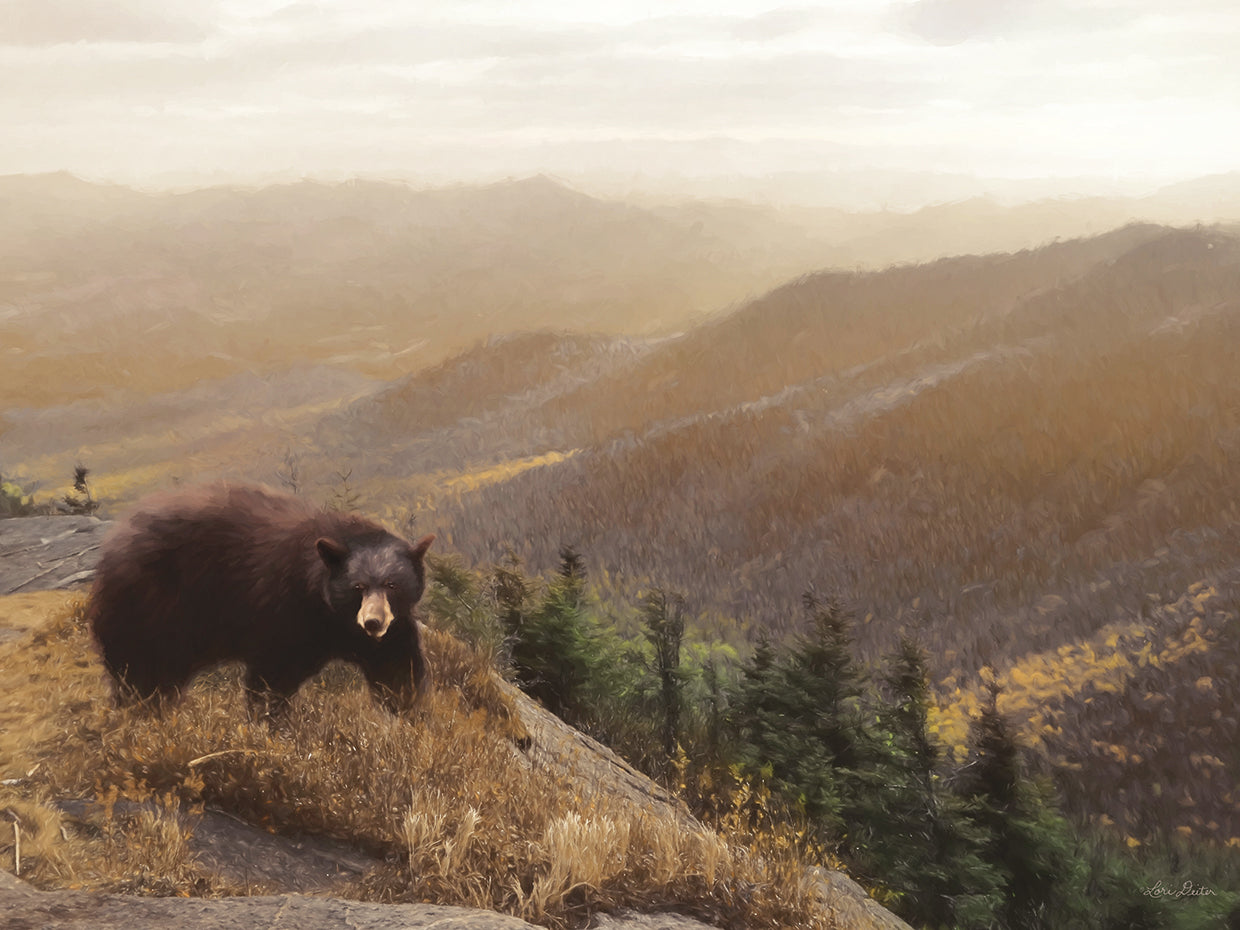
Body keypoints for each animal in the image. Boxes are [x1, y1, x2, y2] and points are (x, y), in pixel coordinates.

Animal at [87, 482, 434, 716]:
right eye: (358, 586)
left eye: (392, 584)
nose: (373, 622)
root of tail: (113, 543)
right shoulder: (284, 611)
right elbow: (272, 676)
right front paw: (273, 724)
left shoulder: (389, 629)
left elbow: (398, 668)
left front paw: (404, 713)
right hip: (150, 609)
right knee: (141, 671)